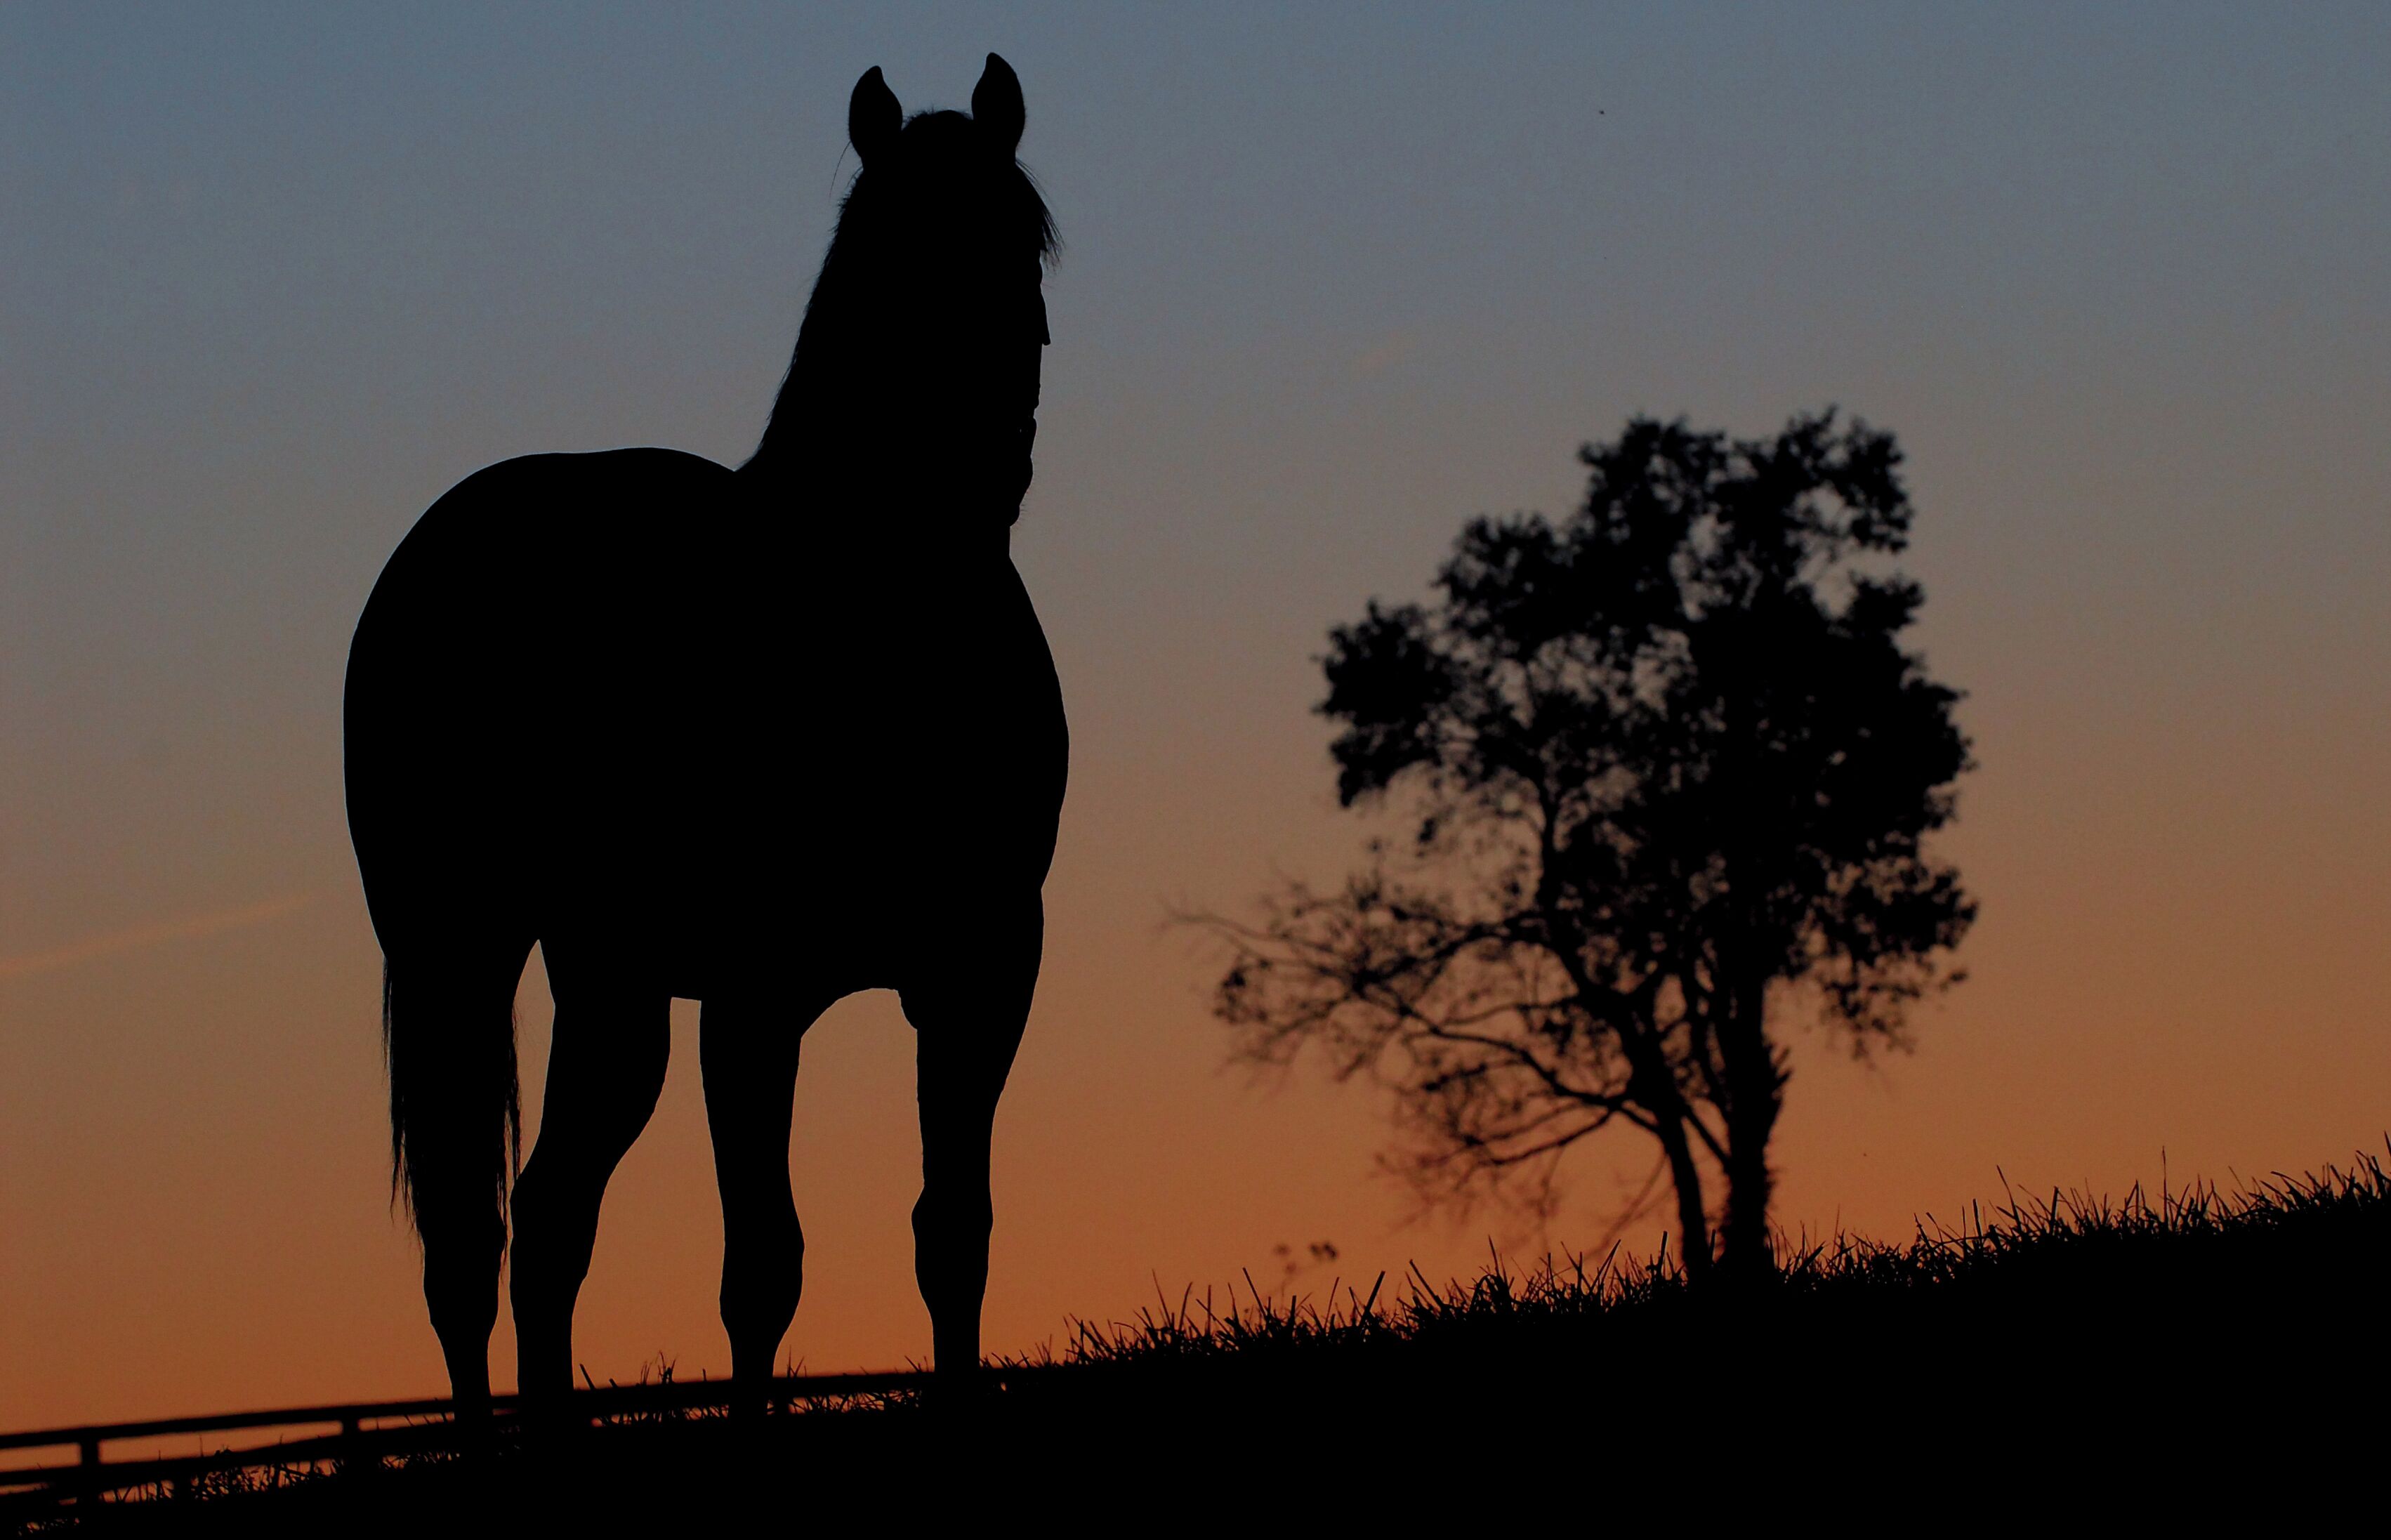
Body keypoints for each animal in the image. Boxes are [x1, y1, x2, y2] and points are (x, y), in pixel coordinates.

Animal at [343, 55, 1065, 1415]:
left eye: (1021, 250)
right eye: (886, 261)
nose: (989, 469)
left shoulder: (981, 968)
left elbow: (953, 1231)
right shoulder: (754, 994)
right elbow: (762, 1269)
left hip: (612, 990)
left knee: (550, 1218)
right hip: (459, 945)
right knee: (470, 1245)